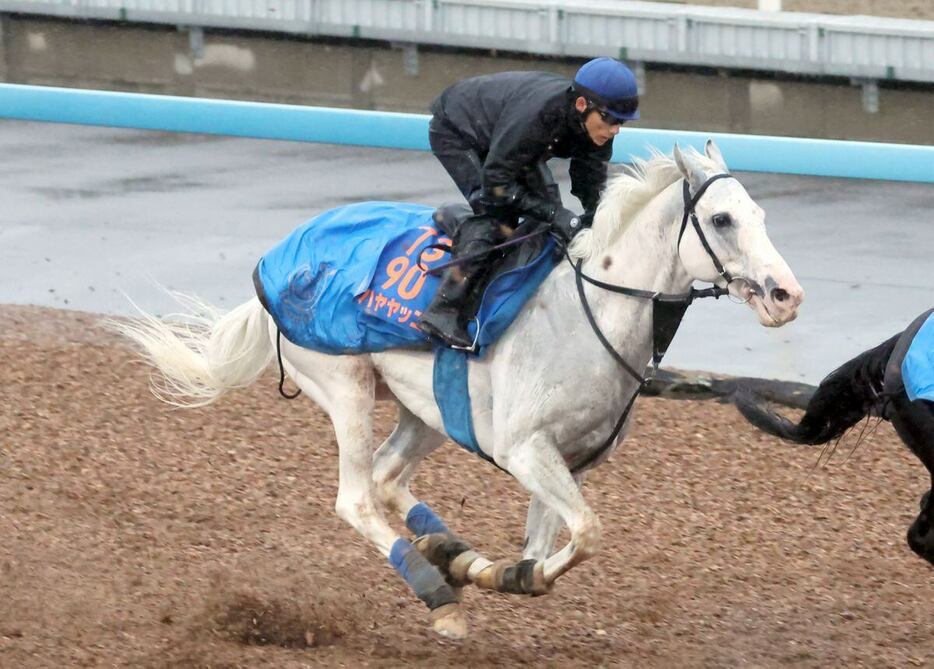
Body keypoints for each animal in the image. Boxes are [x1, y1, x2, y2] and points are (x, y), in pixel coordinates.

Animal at [113, 141, 804, 636]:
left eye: (762, 216)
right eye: (722, 219)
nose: (786, 295)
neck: (589, 316)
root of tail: (272, 263)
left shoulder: (569, 459)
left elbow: (550, 545)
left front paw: (504, 572)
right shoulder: (526, 449)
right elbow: (587, 533)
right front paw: (506, 576)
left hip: (426, 410)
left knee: (388, 477)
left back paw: (452, 554)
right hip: (346, 385)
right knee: (357, 498)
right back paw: (439, 593)